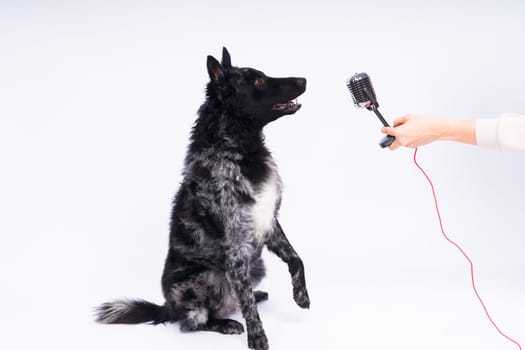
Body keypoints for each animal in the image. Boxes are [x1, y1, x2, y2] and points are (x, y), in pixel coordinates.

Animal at [95, 47, 310, 350]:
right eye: (258, 81)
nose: (303, 79)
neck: (241, 152)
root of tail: (167, 307)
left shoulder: (269, 220)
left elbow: (296, 258)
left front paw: (301, 295)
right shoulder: (236, 246)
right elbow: (248, 305)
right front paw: (257, 336)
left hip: (256, 265)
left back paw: (254, 298)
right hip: (208, 276)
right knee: (194, 321)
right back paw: (225, 323)